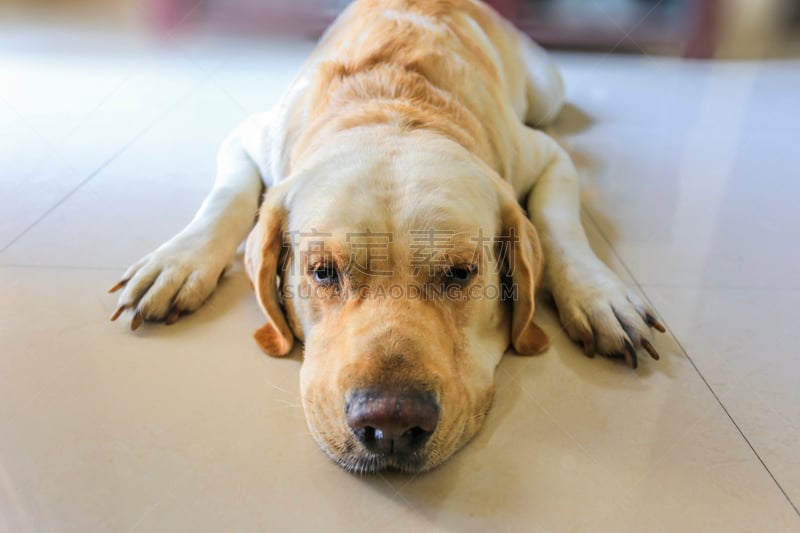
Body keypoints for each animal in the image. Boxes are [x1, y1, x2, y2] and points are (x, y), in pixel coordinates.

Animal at [109, 0, 664, 474]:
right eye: (323, 272)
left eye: (461, 272)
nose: (391, 425)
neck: (392, 105)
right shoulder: (248, 137)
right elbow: (226, 197)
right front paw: (177, 262)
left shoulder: (547, 156)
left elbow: (559, 222)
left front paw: (599, 297)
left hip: (546, 89)